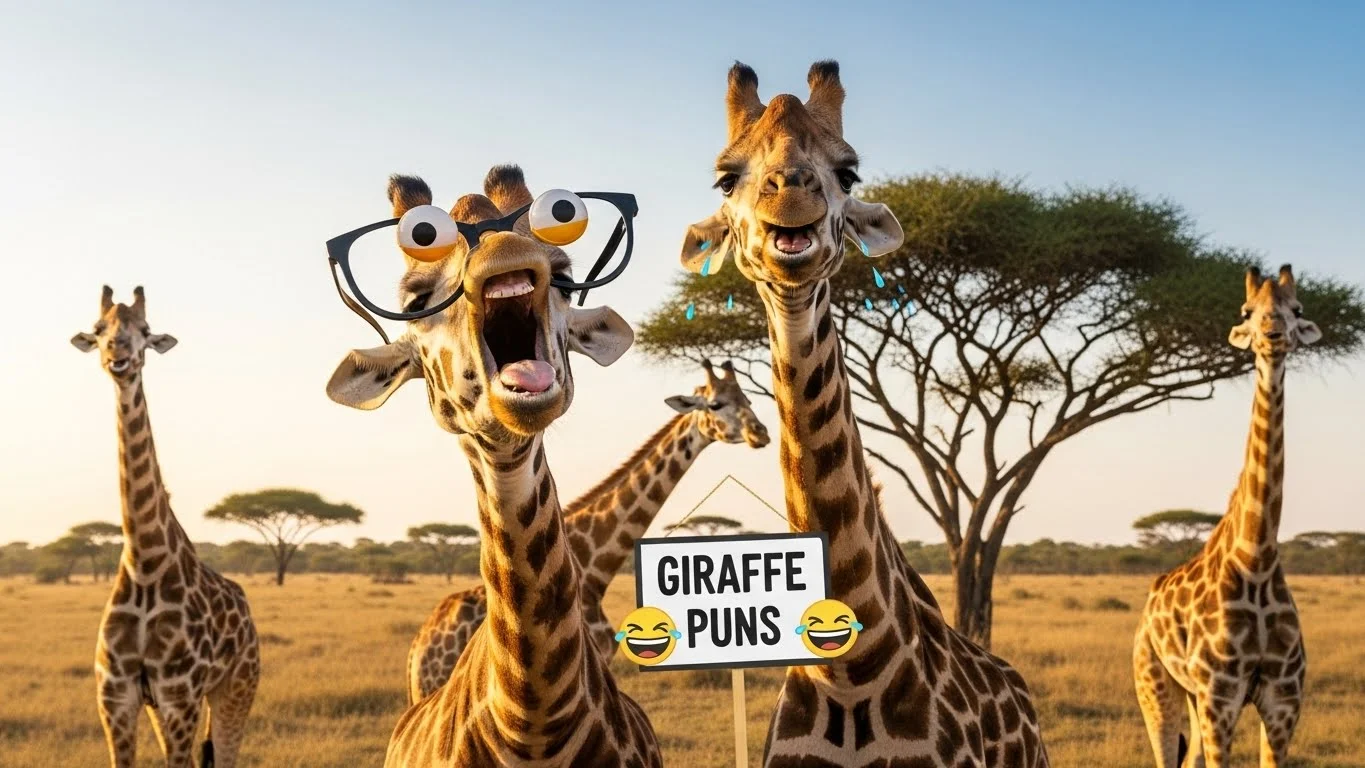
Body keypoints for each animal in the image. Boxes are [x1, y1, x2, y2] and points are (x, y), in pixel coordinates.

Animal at [70, 286, 259, 768]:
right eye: (99, 329)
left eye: (145, 330)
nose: (118, 355)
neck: (144, 563)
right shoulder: (117, 699)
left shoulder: (180, 698)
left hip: (237, 687)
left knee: (225, 755)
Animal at [1134, 265, 1320, 768]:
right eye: (1246, 311)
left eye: (1297, 309)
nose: (1272, 336)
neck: (1255, 560)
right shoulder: (1222, 697)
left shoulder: (1283, 702)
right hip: (1155, 682)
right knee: (1165, 751)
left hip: (1194, 697)